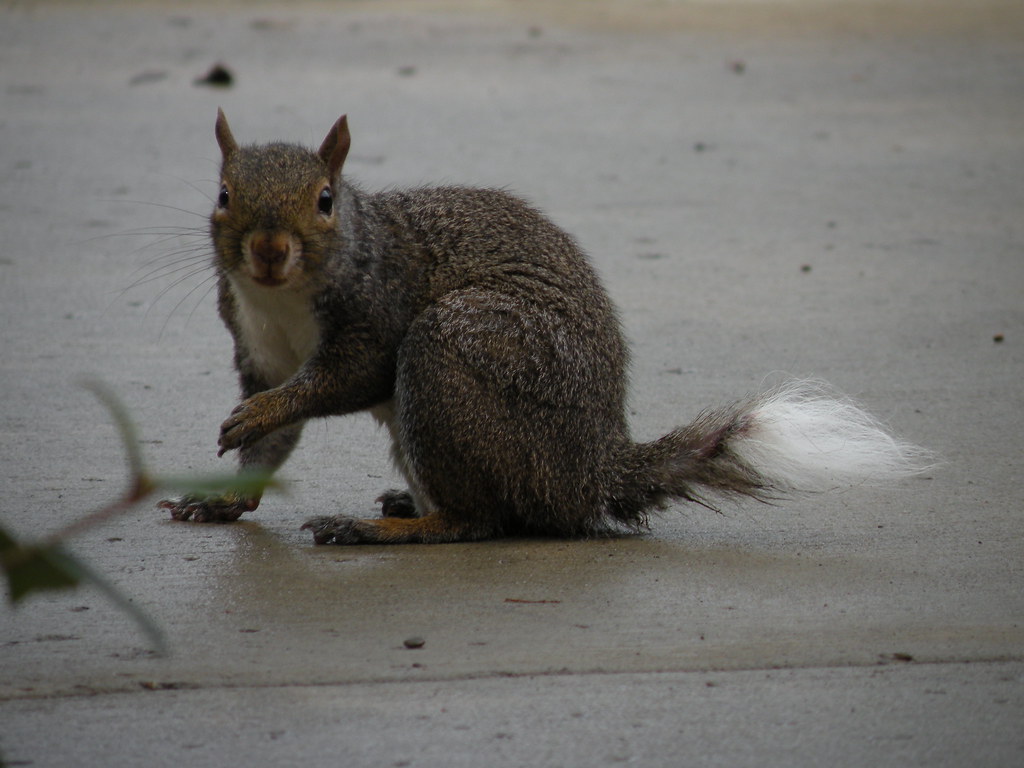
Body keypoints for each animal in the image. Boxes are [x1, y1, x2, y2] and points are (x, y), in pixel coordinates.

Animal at [155, 112, 933, 548]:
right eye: (223, 195)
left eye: (324, 200)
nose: (268, 250)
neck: (282, 300)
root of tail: (593, 466)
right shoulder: (258, 346)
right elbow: (271, 446)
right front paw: (222, 498)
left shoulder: (379, 310)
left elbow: (346, 378)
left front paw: (258, 416)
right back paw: (403, 503)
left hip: (453, 354)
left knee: (476, 521)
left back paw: (385, 528)